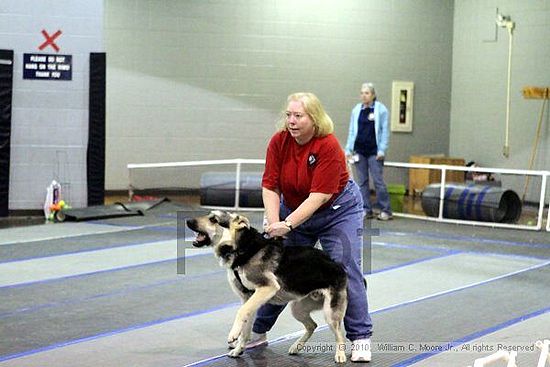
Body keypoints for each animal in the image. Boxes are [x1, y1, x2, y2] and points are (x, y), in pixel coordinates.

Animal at [185, 211, 350, 364]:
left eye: (213, 219)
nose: (188, 221)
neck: (242, 248)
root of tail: (335, 263)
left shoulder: (267, 288)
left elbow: (241, 312)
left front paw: (233, 333)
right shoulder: (248, 299)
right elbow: (245, 328)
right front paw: (239, 349)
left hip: (330, 313)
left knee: (339, 334)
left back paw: (340, 355)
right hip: (298, 309)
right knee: (312, 325)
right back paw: (296, 346)